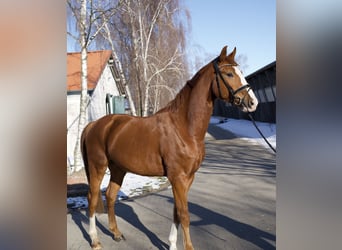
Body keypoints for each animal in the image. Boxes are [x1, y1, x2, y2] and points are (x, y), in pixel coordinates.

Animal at [82, 46, 260, 249]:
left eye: (241, 72)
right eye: (229, 73)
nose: (253, 102)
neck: (184, 128)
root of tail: (93, 125)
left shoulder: (187, 178)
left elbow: (176, 212)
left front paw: (173, 244)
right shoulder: (178, 178)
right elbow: (184, 215)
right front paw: (188, 247)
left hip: (118, 169)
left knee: (110, 196)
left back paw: (116, 233)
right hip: (97, 167)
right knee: (92, 198)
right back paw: (95, 240)